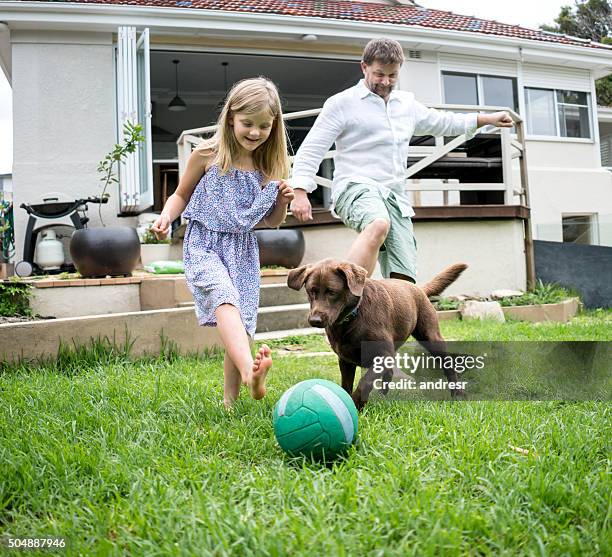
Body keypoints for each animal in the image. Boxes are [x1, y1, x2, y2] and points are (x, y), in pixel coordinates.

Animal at [286, 260, 468, 408]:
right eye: (311, 291)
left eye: (331, 292)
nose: (315, 320)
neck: (353, 317)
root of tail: (417, 288)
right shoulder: (345, 360)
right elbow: (346, 385)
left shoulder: (382, 354)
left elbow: (365, 381)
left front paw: (357, 404)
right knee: (389, 373)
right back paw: (382, 395)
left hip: (431, 337)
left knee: (448, 367)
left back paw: (458, 394)